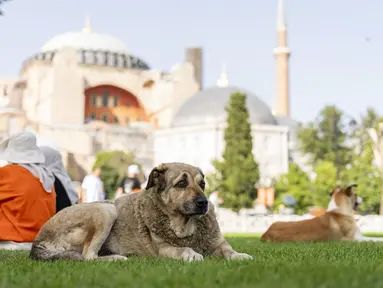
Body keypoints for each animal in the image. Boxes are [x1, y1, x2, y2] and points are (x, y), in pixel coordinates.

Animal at [29, 164, 252, 260]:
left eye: (202, 184)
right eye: (181, 183)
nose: (204, 203)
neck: (185, 227)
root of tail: (38, 241)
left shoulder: (218, 243)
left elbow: (229, 251)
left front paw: (239, 255)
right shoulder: (164, 249)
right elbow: (181, 250)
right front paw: (190, 253)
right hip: (106, 209)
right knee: (88, 257)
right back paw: (115, 259)